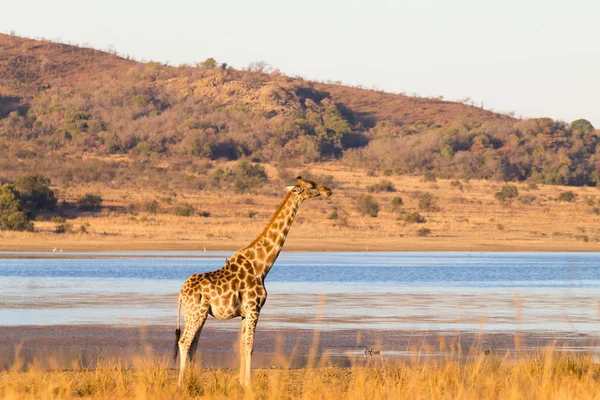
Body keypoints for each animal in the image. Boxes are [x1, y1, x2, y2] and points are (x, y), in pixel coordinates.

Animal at [173, 176, 332, 388]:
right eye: (312, 186)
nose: (328, 190)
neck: (262, 266)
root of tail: (181, 294)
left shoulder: (243, 312)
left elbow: (242, 346)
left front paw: (241, 381)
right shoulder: (254, 308)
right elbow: (249, 346)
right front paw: (248, 384)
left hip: (196, 314)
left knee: (193, 344)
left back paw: (191, 380)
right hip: (196, 312)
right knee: (184, 342)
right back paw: (181, 383)